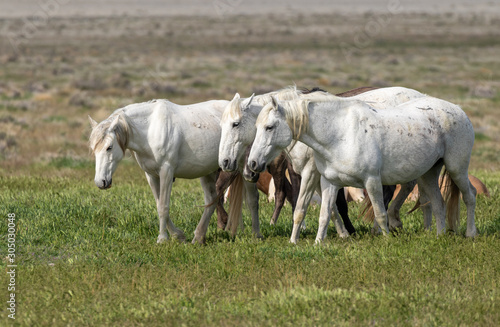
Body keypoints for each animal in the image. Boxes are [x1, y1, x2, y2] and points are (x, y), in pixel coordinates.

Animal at [89, 98, 262, 245]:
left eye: (109, 147)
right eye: (93, 149)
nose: (100, 182)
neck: (150, 128)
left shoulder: (166, 171)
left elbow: (164, 206)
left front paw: (162, 239)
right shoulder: (151, 175)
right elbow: (159, 204)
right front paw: (177, 235)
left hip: (243, 167)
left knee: (252, 199)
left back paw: (256, 235)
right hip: (207, 172)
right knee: (212, 199)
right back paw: (199, 237)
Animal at [248, 93, 478, 242]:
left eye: (269, 127)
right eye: (256, 127)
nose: (252, 164)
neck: (340, 134)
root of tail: (460, 111)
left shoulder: (372, 181)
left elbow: (380, 213)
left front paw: (386, 240)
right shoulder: (329, 182)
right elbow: (325, 214)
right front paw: (318, 243)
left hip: (457, 169)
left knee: (470, 196)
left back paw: (470, 233)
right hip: (429, 174)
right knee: (438, 203)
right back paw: (440, 236)